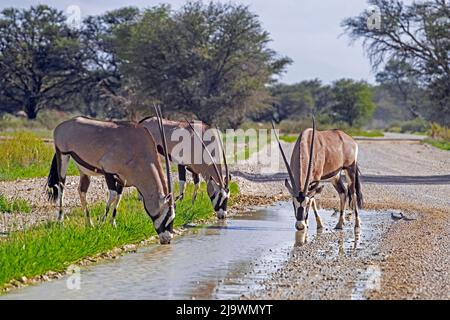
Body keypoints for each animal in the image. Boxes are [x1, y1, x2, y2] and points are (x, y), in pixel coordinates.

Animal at [46, 107, 175, 245]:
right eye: (167, 215)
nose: (167, 239)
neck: (138, 150)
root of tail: (62, 126)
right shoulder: (108, 172)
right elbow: (113, 195)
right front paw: (102, 222)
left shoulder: (122, 180)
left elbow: (118, 197)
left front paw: (113, 224)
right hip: (63, 155)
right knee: (61, 186)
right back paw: (61, 220)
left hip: (84, 169)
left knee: (81, 190)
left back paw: (89, 223)